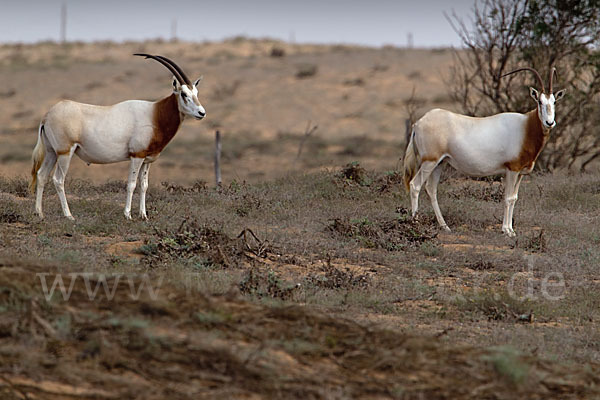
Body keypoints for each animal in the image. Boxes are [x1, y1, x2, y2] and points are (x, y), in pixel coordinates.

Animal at [31, 53, 206, 220]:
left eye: (196, 93)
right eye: (183, 94)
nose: (201, 113)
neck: (155, 114)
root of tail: (47, 116)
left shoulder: (146, 159)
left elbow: (144, 185)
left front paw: (144, 215)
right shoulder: (136, 156)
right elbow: (131, 184)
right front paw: (127, 215)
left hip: (52, 152)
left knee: (41, 175)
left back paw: (39, 213)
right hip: (65, 153)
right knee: (58, 179)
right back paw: (68, 215)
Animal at [404, 67, 564, 236]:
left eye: (554, 101)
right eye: (539, 101)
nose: (549, 122)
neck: (526, 127)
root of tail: (418, 123)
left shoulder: (520, 172)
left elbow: (514, 198)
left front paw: (512, 230)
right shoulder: (512, 170)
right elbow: (508, 198)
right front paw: (506, 230)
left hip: (439, 163)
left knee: (431, 189)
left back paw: (444, 226)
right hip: (429, 162)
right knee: (415, 185)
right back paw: (415, 224)